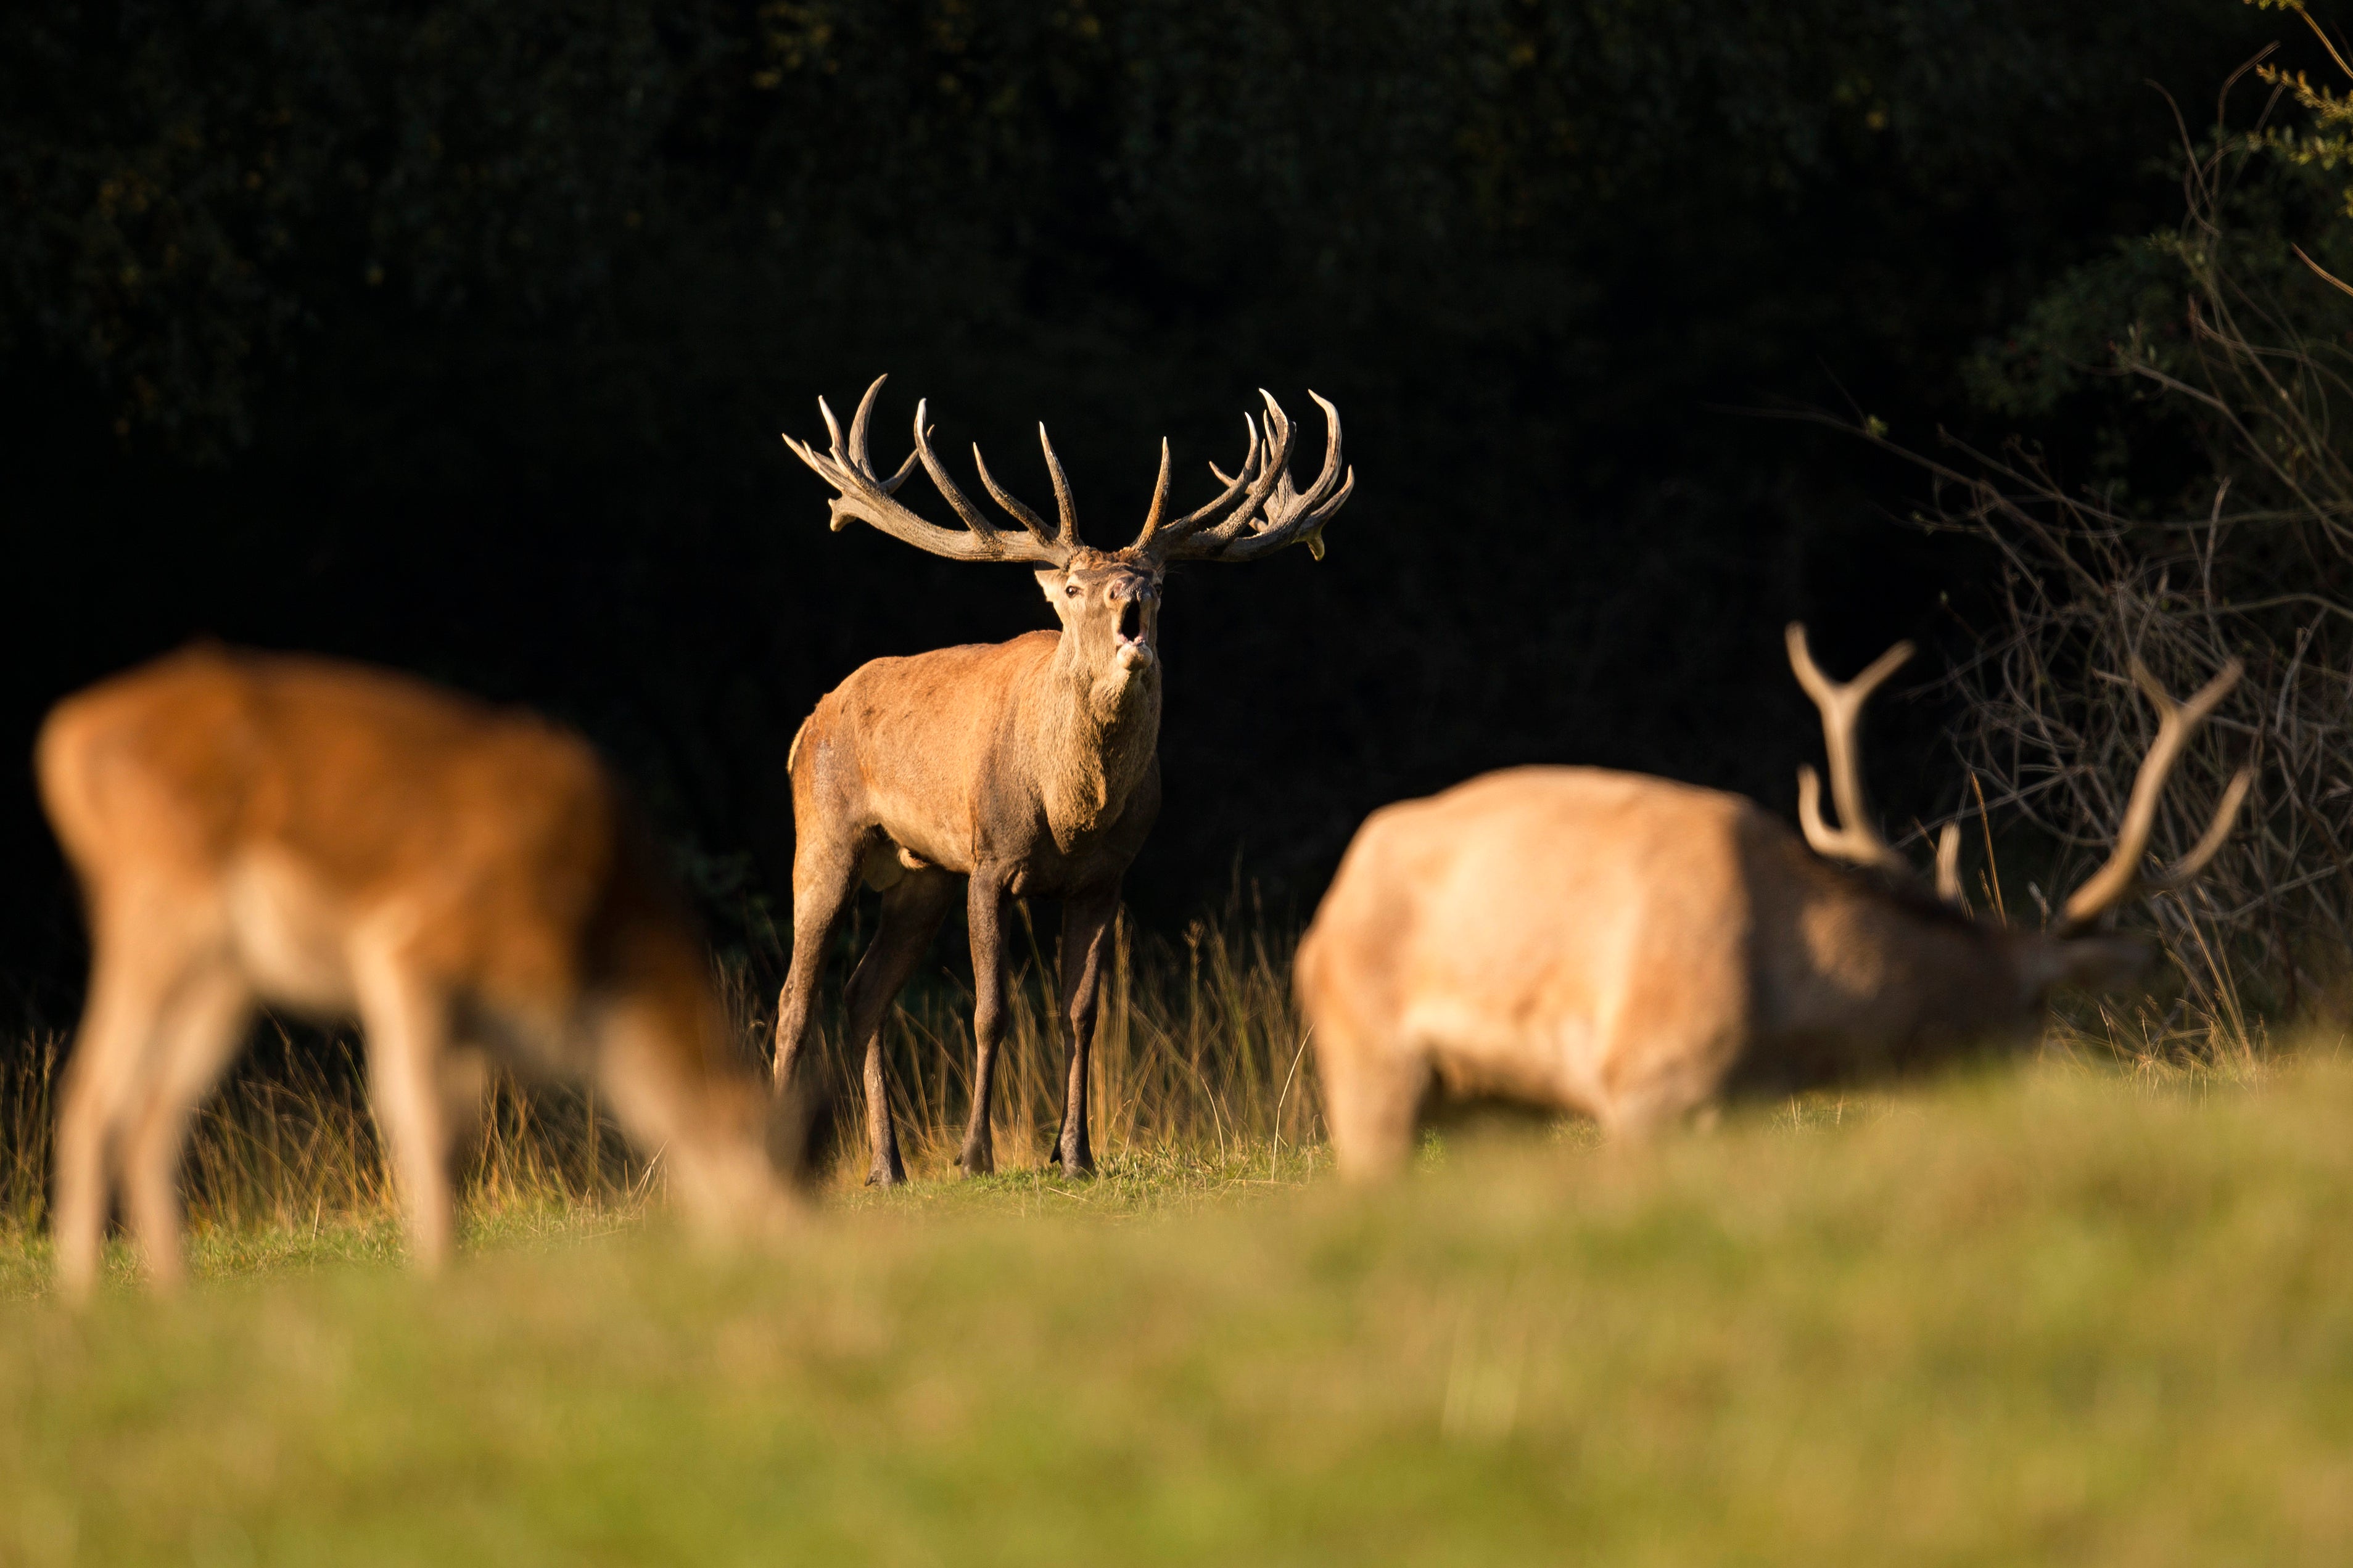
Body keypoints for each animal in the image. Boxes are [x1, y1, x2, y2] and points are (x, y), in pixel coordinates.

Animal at [39, 644, 800, 1297]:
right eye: (766, 1157)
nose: (778, 1254)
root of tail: (62, 742)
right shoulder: (413, 948)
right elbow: (418, 1118)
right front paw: (435, 1276)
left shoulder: (473, 1020)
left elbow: (456, 1131)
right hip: (163, 910)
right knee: (92, 1091)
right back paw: (85, 1301)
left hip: (225, 974)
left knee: (151, 1111)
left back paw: (171, 1294)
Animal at [776, 380, 1355, 1184]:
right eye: (1076, 584)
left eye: (1158, 582)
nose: (1127, 599)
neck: (1072, 813)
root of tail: (808, 723)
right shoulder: (989, 859)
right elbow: (990, 1010)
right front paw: (974, 1154)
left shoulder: (1105, 878)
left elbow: (1080, 1012)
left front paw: (1076, 1153)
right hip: (825, 833)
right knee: (794, 997)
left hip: (920, 873)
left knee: (864, 993)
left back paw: (886, 1167)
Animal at [1298, 625, 2249, 1175]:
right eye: (2033, 1009)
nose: (2013, 1099)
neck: (1781, 1014)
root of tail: (1321, 920)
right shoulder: (1645, 1079)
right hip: (1366, 1055)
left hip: (1493, 1102)